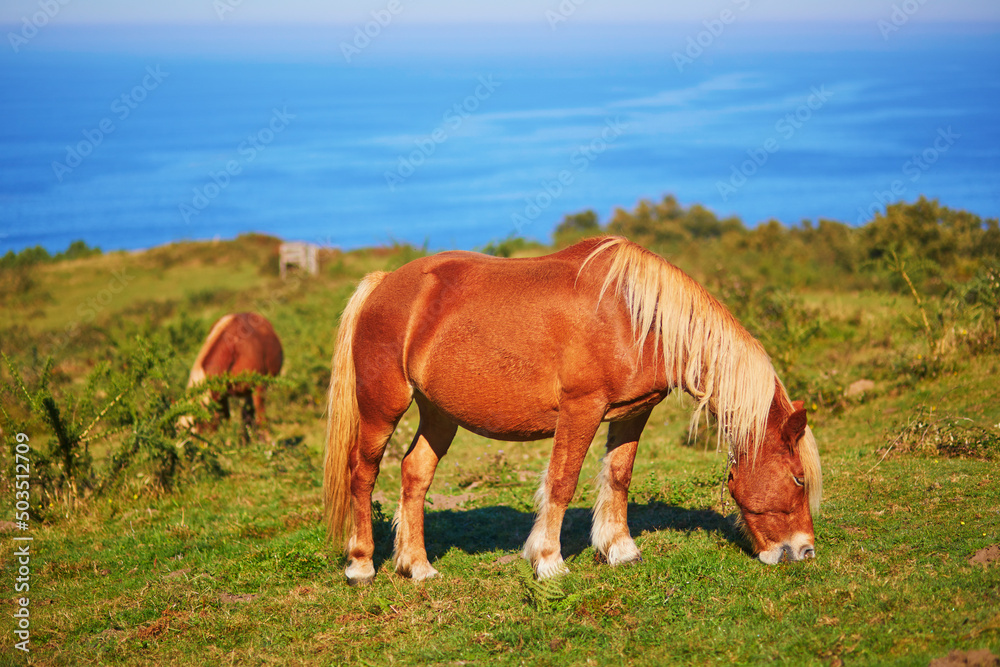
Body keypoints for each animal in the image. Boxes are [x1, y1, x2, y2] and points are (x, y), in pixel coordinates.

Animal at [323, 237, 822, 584]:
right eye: (799, 478)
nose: (804, 551)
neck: (633, 316)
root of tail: (384, 283)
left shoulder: (632, 412)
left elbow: (618, 476)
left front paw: (620, 549)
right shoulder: (582, 408)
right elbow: (562, 482)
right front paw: (548, 561)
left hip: (438, 414)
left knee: (415, 473)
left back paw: (417, 566)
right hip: (383, 405)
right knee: (362, 473)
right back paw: (362, 565)